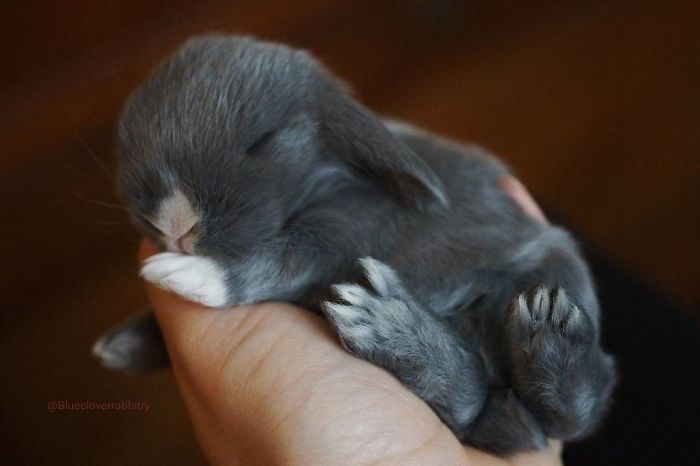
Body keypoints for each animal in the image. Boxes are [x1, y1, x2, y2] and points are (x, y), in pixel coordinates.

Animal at [93, 35, 616, 454]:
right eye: (127, 147)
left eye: (262, 140)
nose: (174, 222)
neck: (325, 179)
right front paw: (123, 342)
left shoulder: (341, 229)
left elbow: (274, 261)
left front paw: (183, 275)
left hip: (553, 272)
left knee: (559, 404)